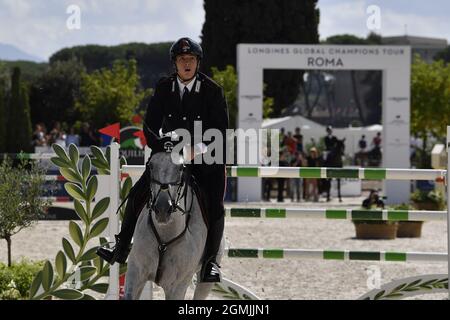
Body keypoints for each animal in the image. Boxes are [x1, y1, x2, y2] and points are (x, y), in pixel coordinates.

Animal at [123, 152, 223, 300]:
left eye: (181, 168)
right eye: (151, 166)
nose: (163, 209)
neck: (165, 234)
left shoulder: (177, 287)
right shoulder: (135, 273)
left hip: (205, 282)